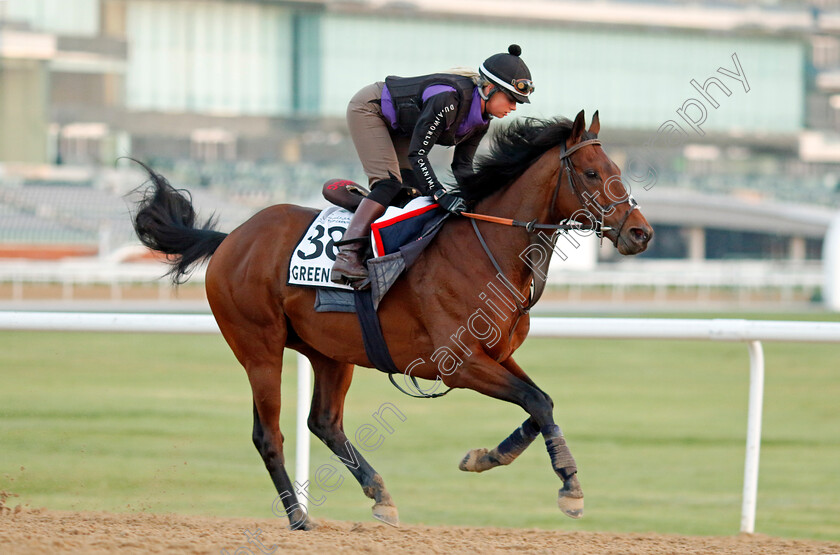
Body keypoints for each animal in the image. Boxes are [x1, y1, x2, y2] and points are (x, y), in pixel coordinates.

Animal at [133, 111, 656, 532]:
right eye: (592, 173)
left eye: (618, 172)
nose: (641, 233)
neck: (487, 248)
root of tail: (230, 239)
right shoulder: (458, 363)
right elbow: (536, 402)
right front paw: (570, 490)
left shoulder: (498, 355)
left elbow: (540, 403)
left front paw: (484, 458)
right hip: (258, 348)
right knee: (269, 434)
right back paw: (299, 518)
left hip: (330, 352)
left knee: (324, 422)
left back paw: (379, 495)